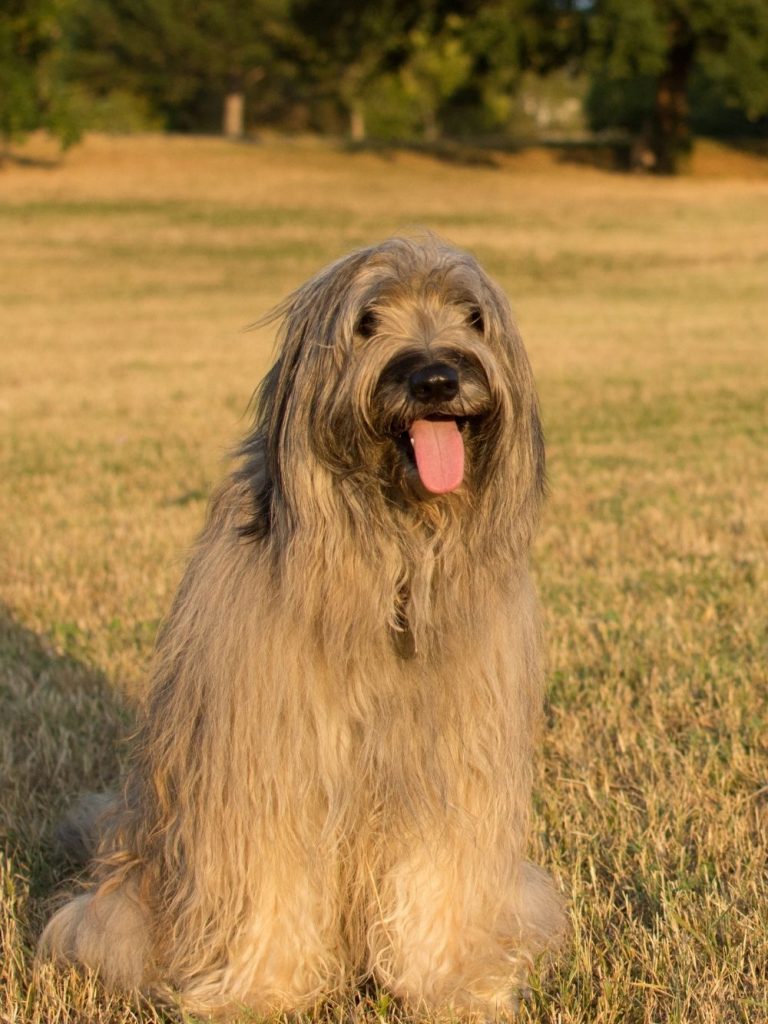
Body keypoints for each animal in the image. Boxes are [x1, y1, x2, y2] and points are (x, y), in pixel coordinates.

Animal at [40, 234, 565, 1015]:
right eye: (367, 320)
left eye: (471, 316)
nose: (437, 378)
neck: (391, 554)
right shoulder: (265, 758)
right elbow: (269, 875)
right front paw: (260, 992)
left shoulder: (449, 762)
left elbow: (438, 870)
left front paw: (450, 983)